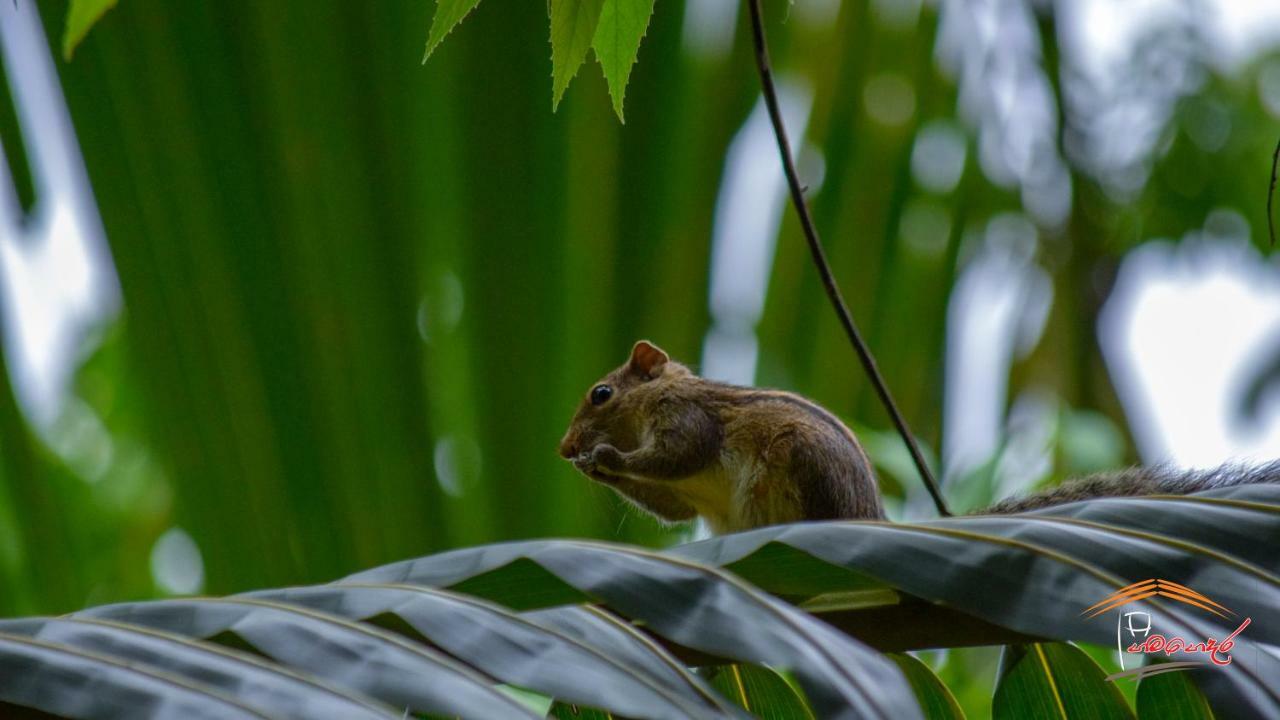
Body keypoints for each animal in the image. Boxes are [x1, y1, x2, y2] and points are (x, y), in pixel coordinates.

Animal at [560, 338, 1280, 532]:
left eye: (601, 393)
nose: (565, 449)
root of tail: (870, 517)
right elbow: (673, 506)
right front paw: (600, 466)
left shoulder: (688, 418)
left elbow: (679, 456)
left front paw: (607, 453)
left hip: (798, 465)